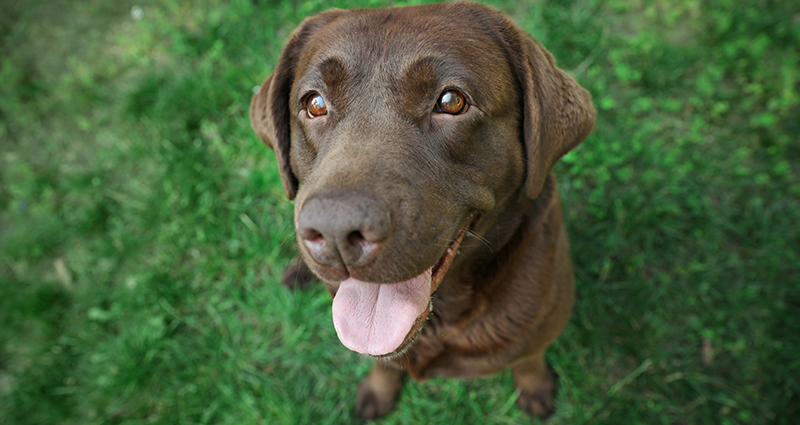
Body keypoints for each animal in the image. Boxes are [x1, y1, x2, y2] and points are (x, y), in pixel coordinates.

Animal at [250, 0, 592, 418]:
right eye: (314, 104)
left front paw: (536, 389)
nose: (335, 232)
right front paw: (377, 392)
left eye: (451, 101)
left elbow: (528, 358)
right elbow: (383, 362)